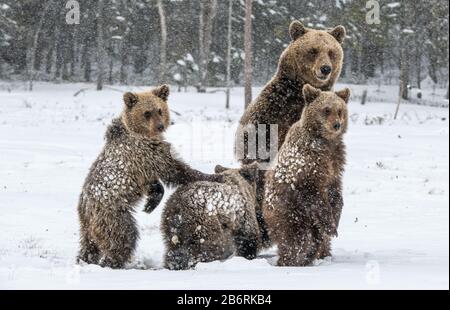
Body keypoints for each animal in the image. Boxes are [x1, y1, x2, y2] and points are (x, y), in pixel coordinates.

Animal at [78, 85, 224, 268]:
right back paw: (112, 261)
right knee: (123, 237)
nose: (160, 126)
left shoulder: (144, 165)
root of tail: (85, 209)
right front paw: (214, 175)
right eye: (147, 113)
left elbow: (155, 181)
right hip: (112, 213)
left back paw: (84, 259)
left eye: (160, 110)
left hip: (88, 226)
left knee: (89, 245)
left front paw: (151, 201)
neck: (141, 132)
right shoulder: (146, 152)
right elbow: (175, 169)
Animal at [264, 85, 352, 266]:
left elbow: (335, 190)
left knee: (318, 240)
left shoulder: (336, 161)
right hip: (290, 213)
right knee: (298, 240)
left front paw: (336, 218)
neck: (325, 142)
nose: (336, 125)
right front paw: (331, 226)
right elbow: (315, 194)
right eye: (326, 109)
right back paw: (291, 260)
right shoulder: (307, 168)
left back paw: (322, 255)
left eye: (340, 110)